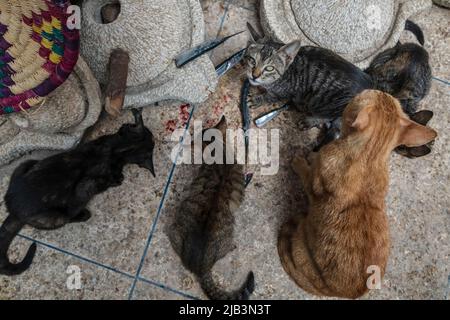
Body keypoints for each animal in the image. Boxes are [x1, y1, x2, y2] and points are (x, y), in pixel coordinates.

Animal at [0, 109, 155, 276]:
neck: (117, 148)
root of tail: (12, 208)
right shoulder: (86, 186)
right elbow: (104, 182)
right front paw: (118, 179)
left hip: (26, 164)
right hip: (55, 217)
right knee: (68, 217)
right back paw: (83, 214)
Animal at [280, 89, 438, 298]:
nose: (377, 88)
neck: (369, 158)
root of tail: (348, 293)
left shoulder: (312, 183)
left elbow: (306, 171)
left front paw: (301, 161)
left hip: (300, 246)